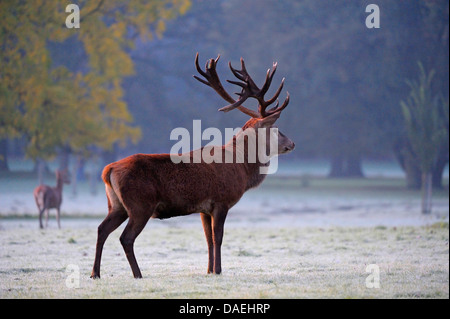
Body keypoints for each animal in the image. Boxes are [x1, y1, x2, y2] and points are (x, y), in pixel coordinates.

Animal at [91, 53, 296, 278]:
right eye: (275, 129)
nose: (292, 143)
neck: (242, 168)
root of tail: (108, 170)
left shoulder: (204, 209)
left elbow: (208, 239)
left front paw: (209, 270)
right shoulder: (221, 201)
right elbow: (218, 237)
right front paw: (218, 271)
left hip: (117, 205)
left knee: (101, 229)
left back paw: (95, 273)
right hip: (140, 204)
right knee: (125, 238)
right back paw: (137, 274)